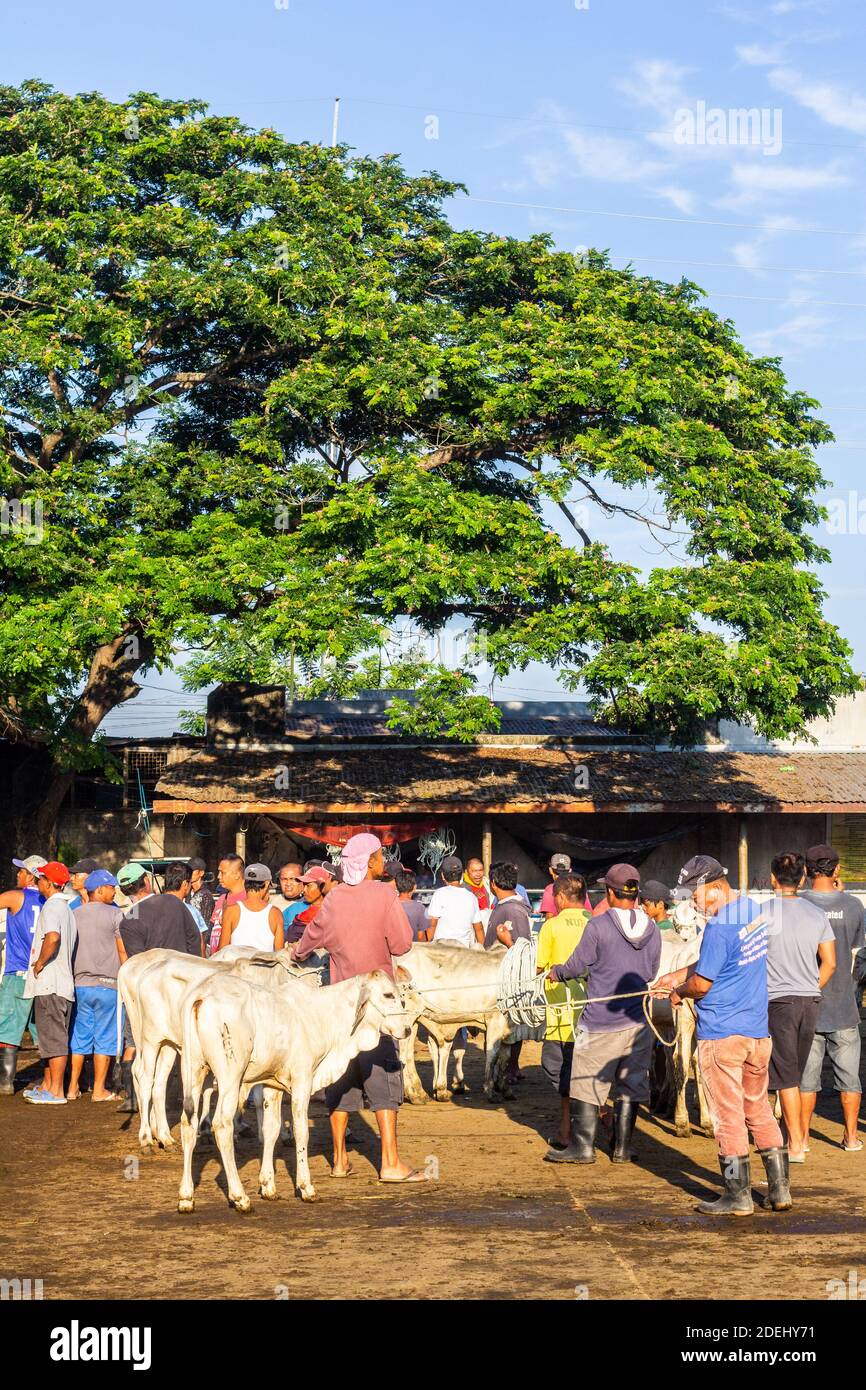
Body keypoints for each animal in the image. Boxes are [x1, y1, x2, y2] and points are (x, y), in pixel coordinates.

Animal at [176, 961, 414, 1212]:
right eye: (388, 995)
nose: (407, 1029)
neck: (322, 1015)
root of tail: (202, 996)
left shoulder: (272, 1084)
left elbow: (271, 1129)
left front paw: (268, 1186)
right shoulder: (303, 1079)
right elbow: (301, 1132)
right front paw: (306, 1187)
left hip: (194, 1071)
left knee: (188, 1123)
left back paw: (186, 1196)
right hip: (230, 1076)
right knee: (222, 1125)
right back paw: (240, 1197)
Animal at [394, 939, 511, 1100]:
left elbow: (505, 1057)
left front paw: (505, 1088)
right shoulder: (495, 1019)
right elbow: (492, 1055)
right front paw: (490, 1089)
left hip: (414, 1019)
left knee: (410, 1051)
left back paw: (419, 1092)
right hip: (406, 1016)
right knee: (403, 1051)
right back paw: (415, 1093)